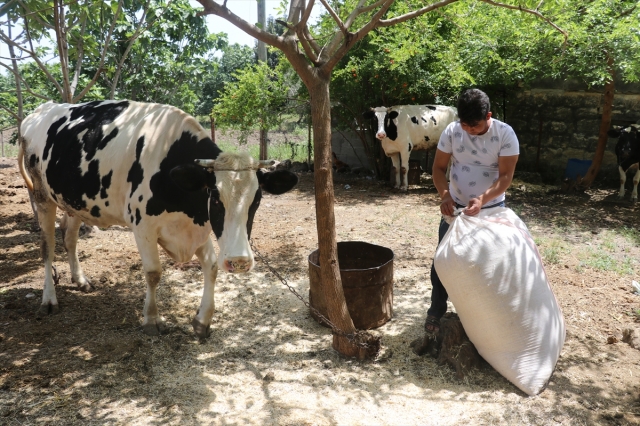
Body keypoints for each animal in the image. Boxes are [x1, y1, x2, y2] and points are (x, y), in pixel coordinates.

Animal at [18, 99, 298, 336]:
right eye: (216, 198)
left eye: (257, 200)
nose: (239, 261)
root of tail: (40, 110)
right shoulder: (142, 227)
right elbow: (154, 272)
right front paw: (152, 320)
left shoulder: (196, 227)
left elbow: (211, 267)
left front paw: (203, 320)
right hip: (41, 196)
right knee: (47, 247)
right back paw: (49, 299)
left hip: (74, 201)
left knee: (70, 237)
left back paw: (80, 280)